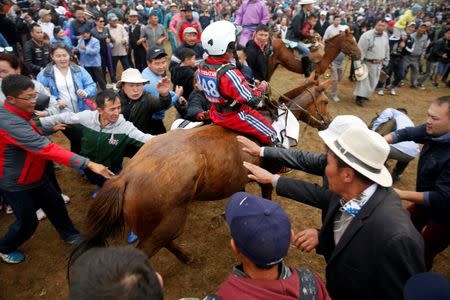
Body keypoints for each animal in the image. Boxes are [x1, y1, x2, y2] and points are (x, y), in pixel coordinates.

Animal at [68, 78, 332, 268]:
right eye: (326, 101)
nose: (328, 123)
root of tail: (127, 176)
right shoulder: (267, 176)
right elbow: (266, 194)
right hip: (167, 224)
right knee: (152, 247)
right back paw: (184, 258)